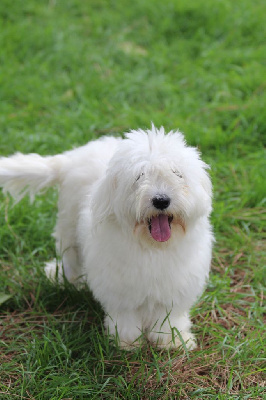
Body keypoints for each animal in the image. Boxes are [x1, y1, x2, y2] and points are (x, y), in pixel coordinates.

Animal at [0, 126, 214, 348]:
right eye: (140, 176)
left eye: (177, 174)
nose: (161, 200)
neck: (152, 247)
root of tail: (70, 158)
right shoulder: (119, 288)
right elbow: (125, 317)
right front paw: (127, 342)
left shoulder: (175, 286)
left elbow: (168, 318)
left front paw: (172, 341)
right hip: (69, 228)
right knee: (70, 260)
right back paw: (64, 280)